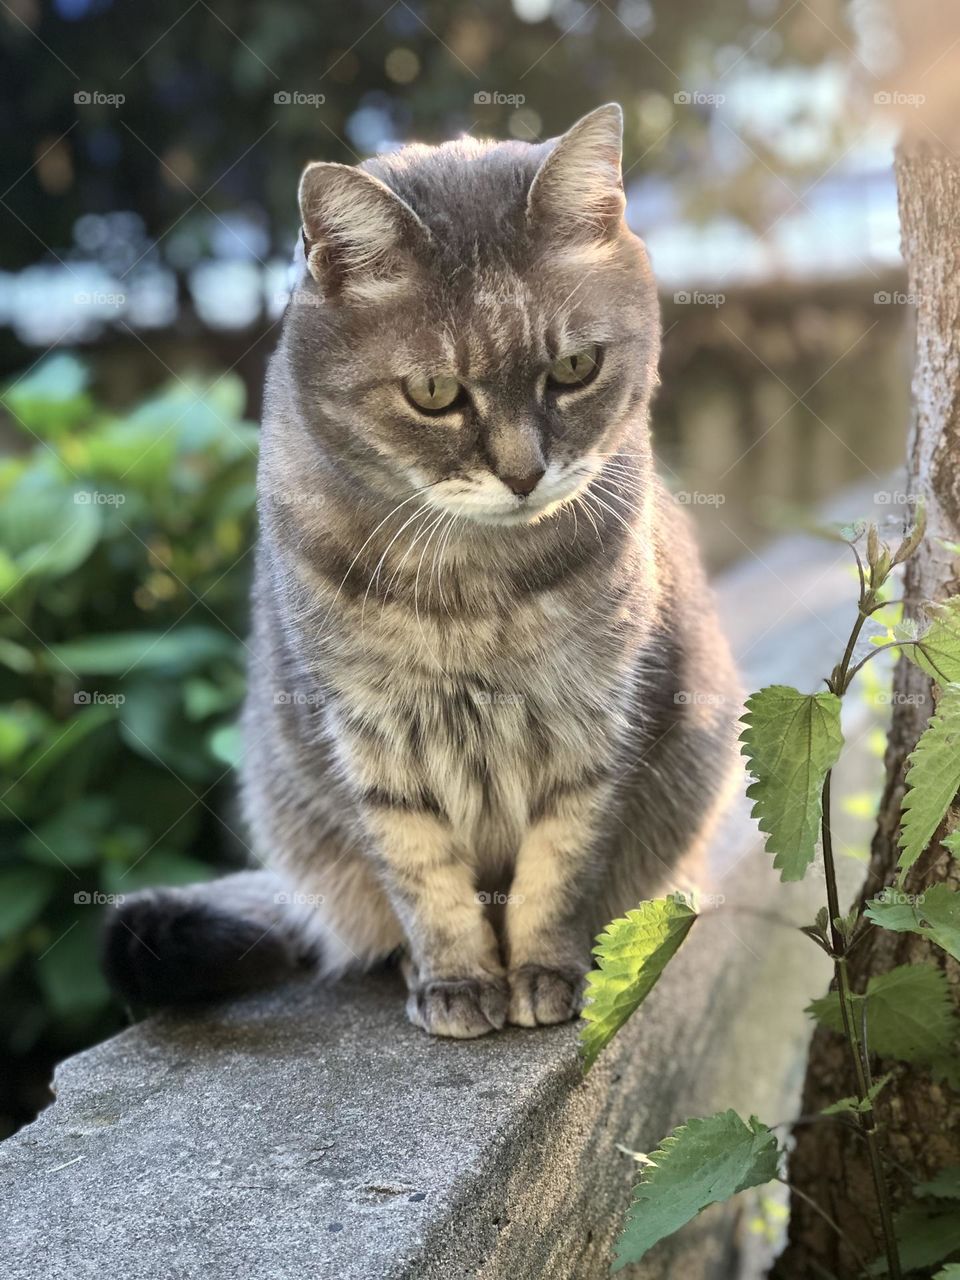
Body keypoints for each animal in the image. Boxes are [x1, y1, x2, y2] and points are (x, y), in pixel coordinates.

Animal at [103, 104, 737, 1034]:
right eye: (434, 393)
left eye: (574, 369)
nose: (524, 474)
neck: (476, 591)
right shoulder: (369, 743)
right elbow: (423, 877)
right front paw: (457, 979)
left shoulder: (598, 728)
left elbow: (562, 864)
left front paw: (545, 969)